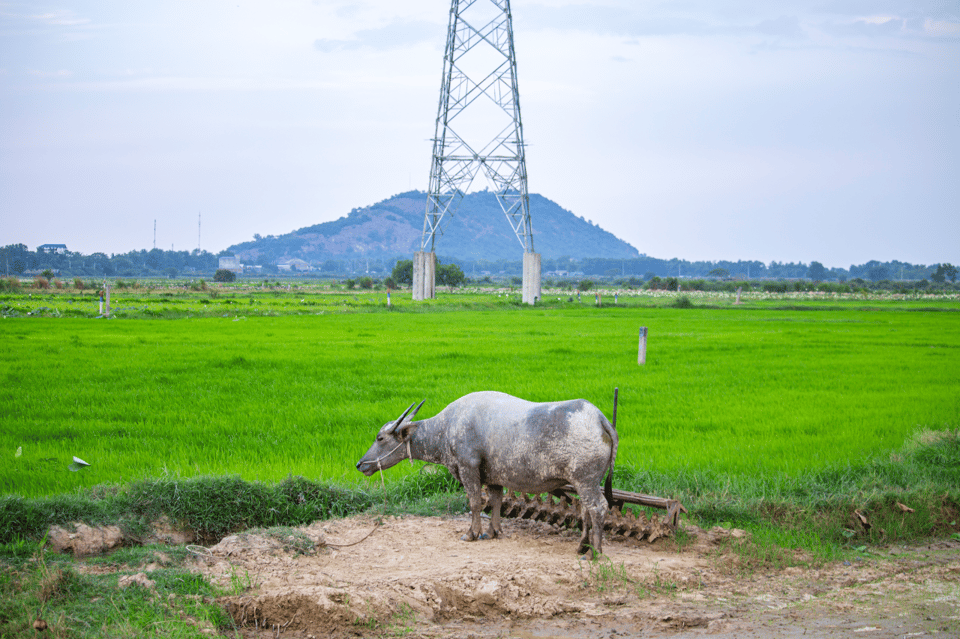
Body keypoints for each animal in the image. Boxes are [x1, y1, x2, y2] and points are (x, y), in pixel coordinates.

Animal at [356, 390, 620, 556]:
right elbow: (495, 501)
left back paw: (594, 553)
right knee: (586, 510)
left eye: (380, 438)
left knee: (598, 508)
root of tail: (600, 419)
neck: (447, 427)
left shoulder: (468, 468)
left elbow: (475, 502)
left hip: (585, 481)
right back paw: (582, 546)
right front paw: (493, 531)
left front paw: (472, 533)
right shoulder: (495, 477)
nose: (360, 464)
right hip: (585, 482)